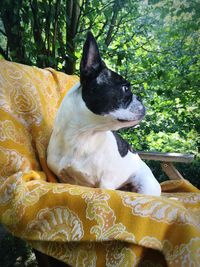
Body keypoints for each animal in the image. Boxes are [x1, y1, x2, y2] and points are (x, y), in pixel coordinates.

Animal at [47, 33, 161, 197]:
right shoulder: (62, 178)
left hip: (146, 187)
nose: (140, 98)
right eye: (125, 88)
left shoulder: (105, 184)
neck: (83, 135)